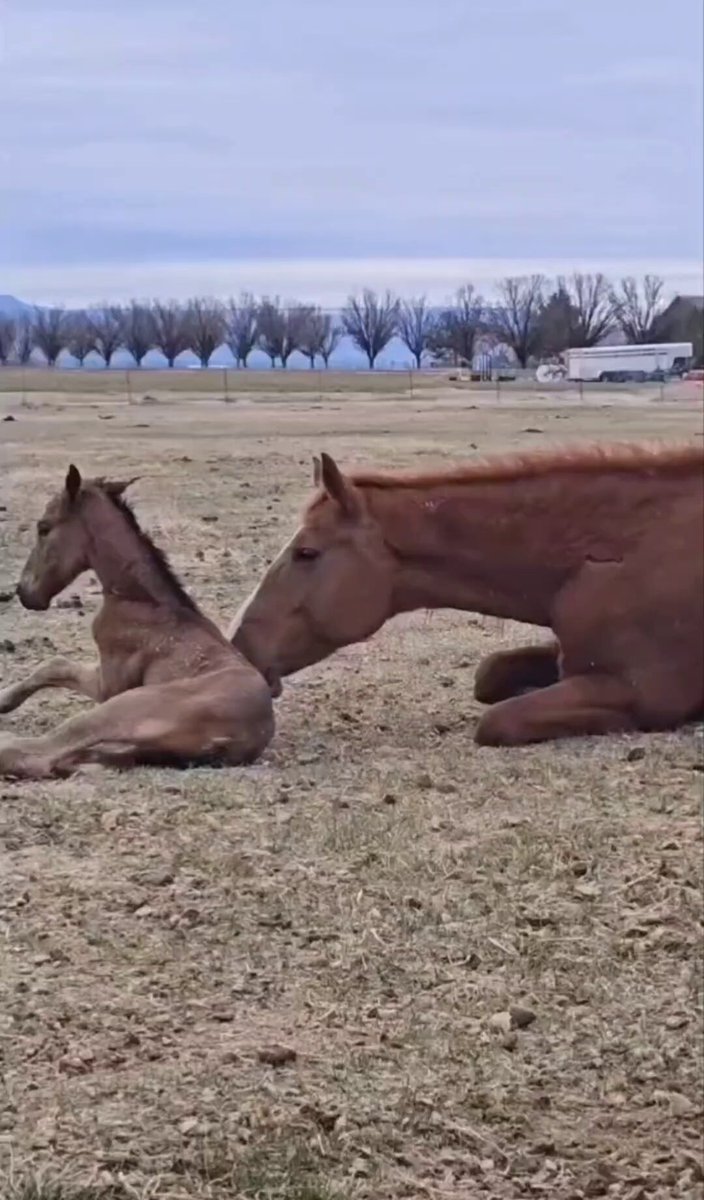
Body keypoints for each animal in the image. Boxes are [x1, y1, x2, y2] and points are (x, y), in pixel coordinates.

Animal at [0, 465, 274, 778]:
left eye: (44, 528)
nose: (24, 593)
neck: (139, 600)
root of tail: (236, 738)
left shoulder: (108, 687)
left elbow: (54, 664)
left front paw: (3, 701)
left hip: (119, 709)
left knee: (40, 751)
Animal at [229, 443, 704, 746]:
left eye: (306, 553)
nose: (241, 647)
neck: (616, 552)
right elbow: (488, 676)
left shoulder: (642, 693)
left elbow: (496, 721)